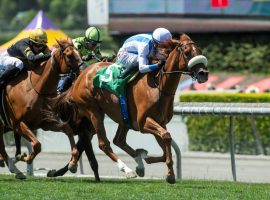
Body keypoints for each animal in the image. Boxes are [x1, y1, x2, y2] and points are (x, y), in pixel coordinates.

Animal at [0, 38, 83, 178]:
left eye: (80, 54)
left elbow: (68, 129)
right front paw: (25, 158)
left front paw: (73, 164)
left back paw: (15, 170)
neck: (36, 88)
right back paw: (14, 168)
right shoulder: (18, 123)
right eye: (69, 55)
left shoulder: (45, 122)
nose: (82, 73)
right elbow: (37, 145)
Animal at [52, 33, 209, 184]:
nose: (203, 73)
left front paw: (147, 159)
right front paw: (169, 174)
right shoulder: (143, 122)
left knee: (118, 140)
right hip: (93, 112)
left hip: (123, 117)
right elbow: (166, 136)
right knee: (104, 143)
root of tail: (81, 76)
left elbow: (165, 146)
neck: (159, 86)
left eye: (200, 51)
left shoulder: (160, 122)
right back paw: (126, 170)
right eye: (187, 52)